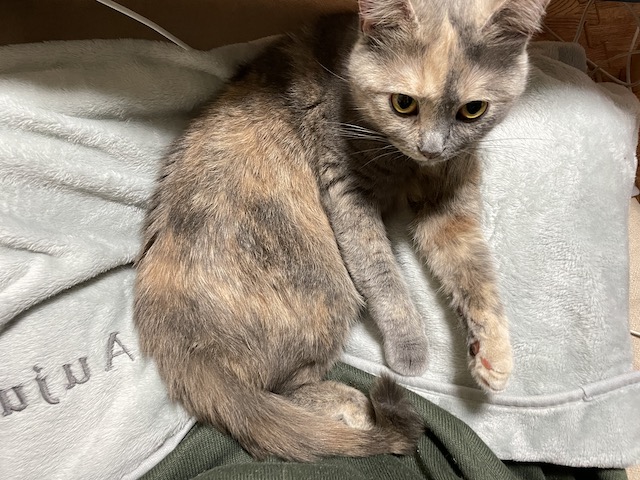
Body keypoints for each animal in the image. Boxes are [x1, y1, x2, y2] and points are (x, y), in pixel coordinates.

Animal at [134, 0, 548, 462]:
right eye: (403, 103)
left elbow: (474, 274)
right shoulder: (347, 193)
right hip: (327, 282)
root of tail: (177, 341)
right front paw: (410, 348)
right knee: (278, 390)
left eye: (472, 109)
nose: (432, 147)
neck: (408, 164)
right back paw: (353, 406)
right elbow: (384, 278)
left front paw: (491, 353)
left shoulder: (449, 204)